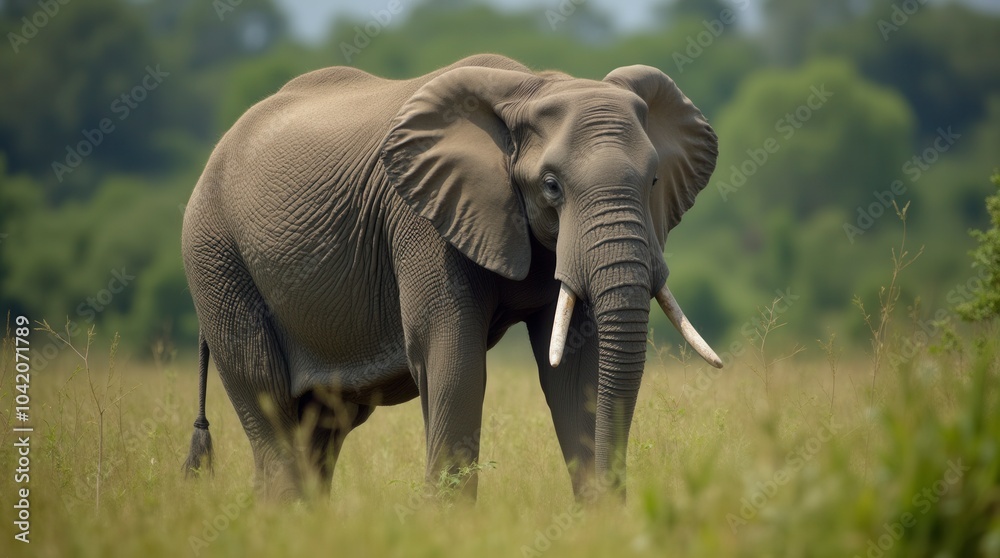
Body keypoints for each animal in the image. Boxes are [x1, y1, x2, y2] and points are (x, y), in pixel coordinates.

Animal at [181, 53, 722, 502]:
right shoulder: (422, 221)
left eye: (654, 181)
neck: (532, 87)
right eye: (551, 186)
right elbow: (453, 361)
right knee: (269, 405)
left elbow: (575, 370)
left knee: (324, 426)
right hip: (217, 260)